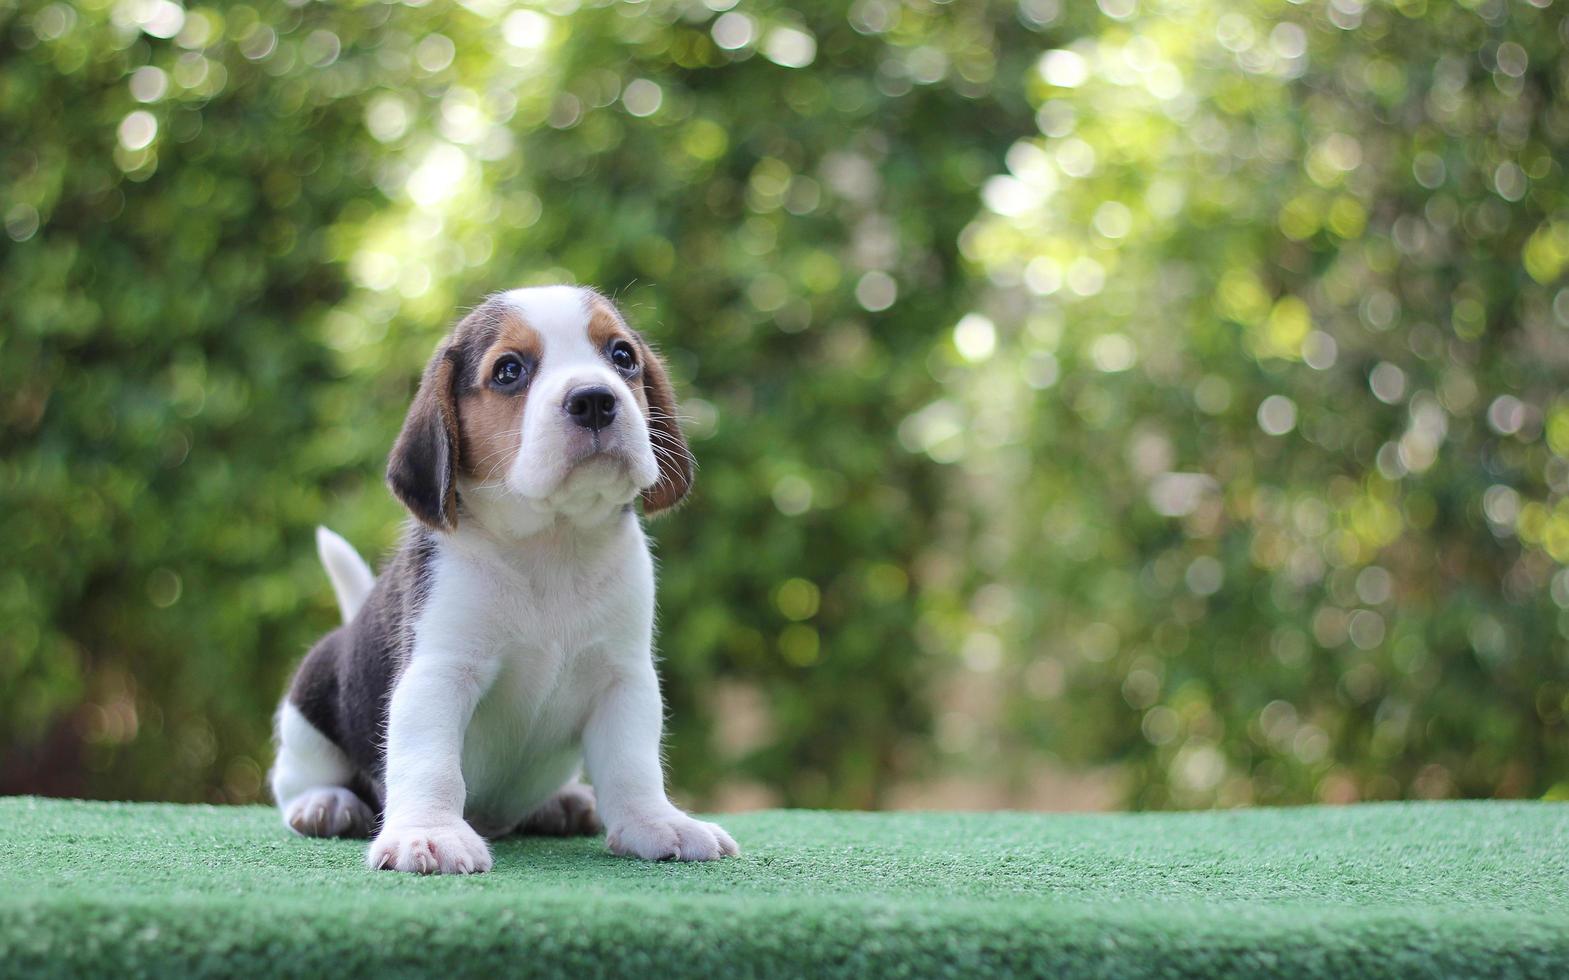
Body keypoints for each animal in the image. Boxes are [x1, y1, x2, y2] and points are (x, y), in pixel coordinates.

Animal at [266, 282, 737, 871]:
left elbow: (633, 765)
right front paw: (430, 833)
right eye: (509, 370)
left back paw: (563, 802)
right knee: (294, 779)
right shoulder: (440, 672)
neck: (551, 544)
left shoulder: (624, 676)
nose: (595, 399)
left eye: (623, 356)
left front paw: (657, 824)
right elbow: (431, 762)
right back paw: (326, 804)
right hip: (308, 702)